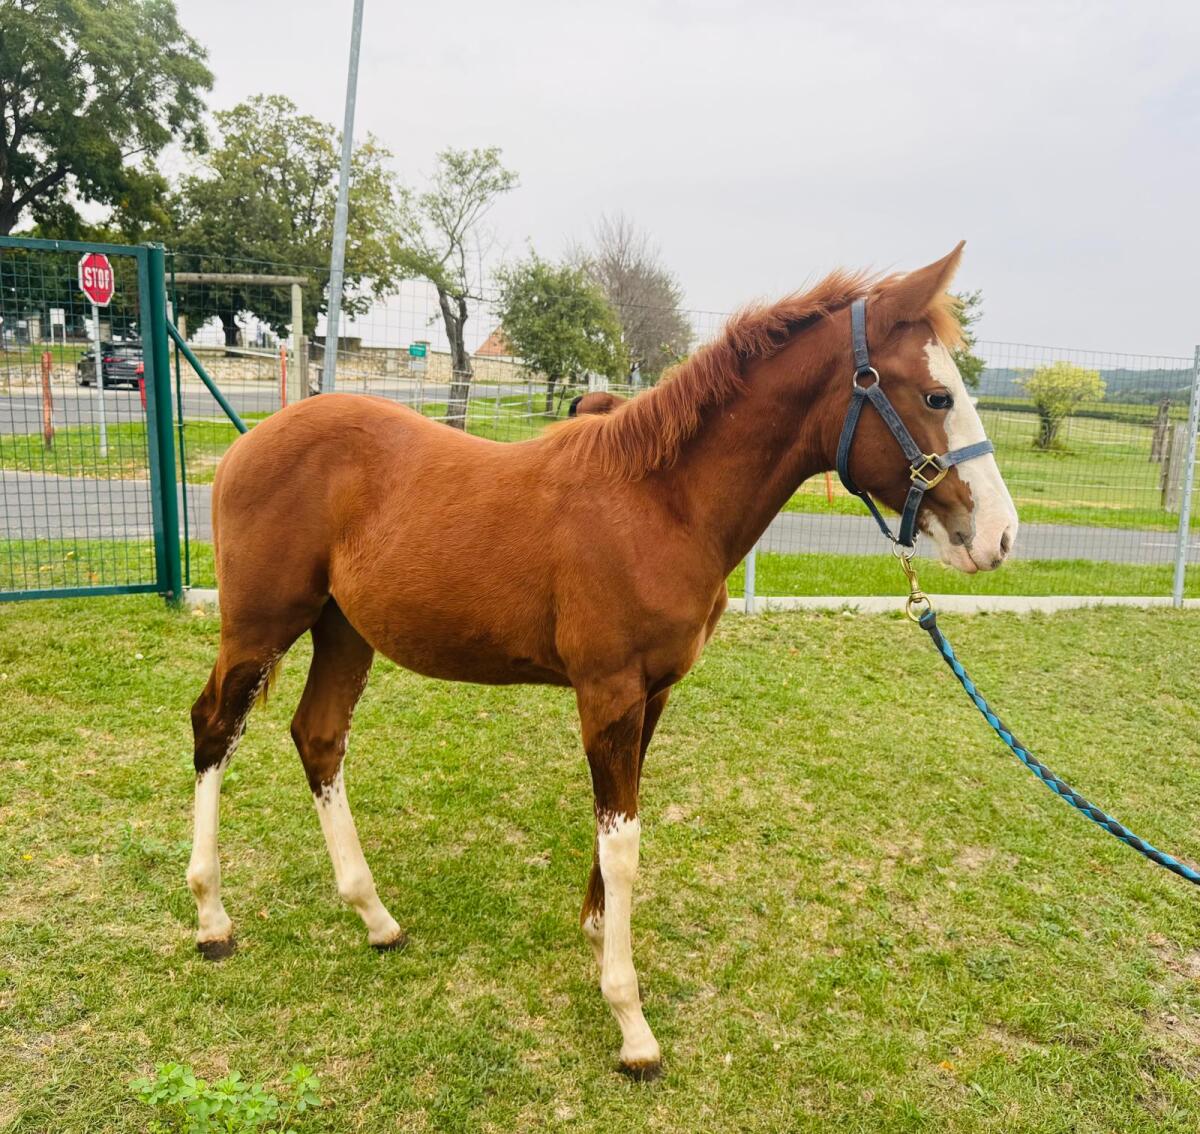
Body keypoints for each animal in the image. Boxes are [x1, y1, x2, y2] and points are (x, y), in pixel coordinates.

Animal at [186, 244, 1018, 1078]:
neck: (661, 503)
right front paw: (630, 1020)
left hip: (344, 631)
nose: (1001, 537)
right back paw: (213, 917)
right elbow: (623, 842)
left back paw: (375, 916)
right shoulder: (608, 692)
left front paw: (594, 932)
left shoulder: (654, 693)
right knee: (215, 727)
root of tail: (248, 444)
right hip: (261, 625)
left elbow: (619, 821)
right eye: (937, 394)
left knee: (319, 737)